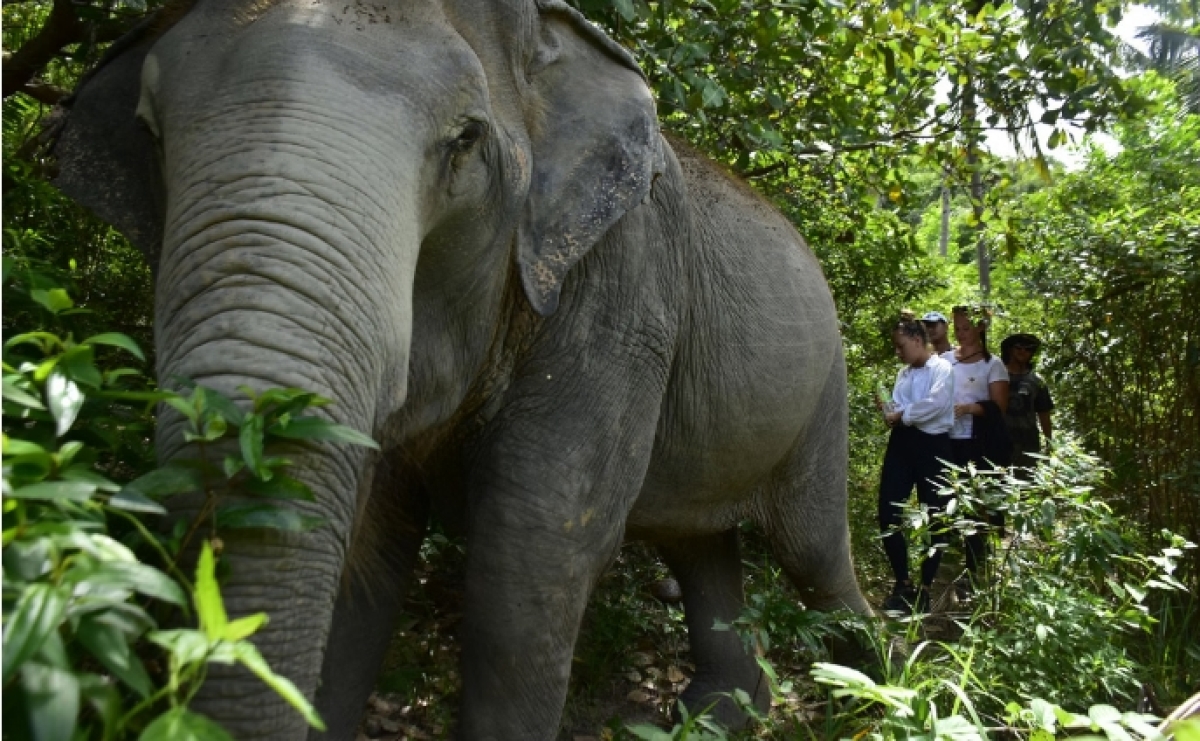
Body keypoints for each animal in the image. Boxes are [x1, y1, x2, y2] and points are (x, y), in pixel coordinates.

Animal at [52, 0, 873, 737]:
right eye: (149, 133)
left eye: (466, 140)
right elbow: (369, 541)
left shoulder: (623, 295)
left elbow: (533, 545)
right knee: (699, 543)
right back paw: (722, 715)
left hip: (824, 394)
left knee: (812, 553)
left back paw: (874, 692)